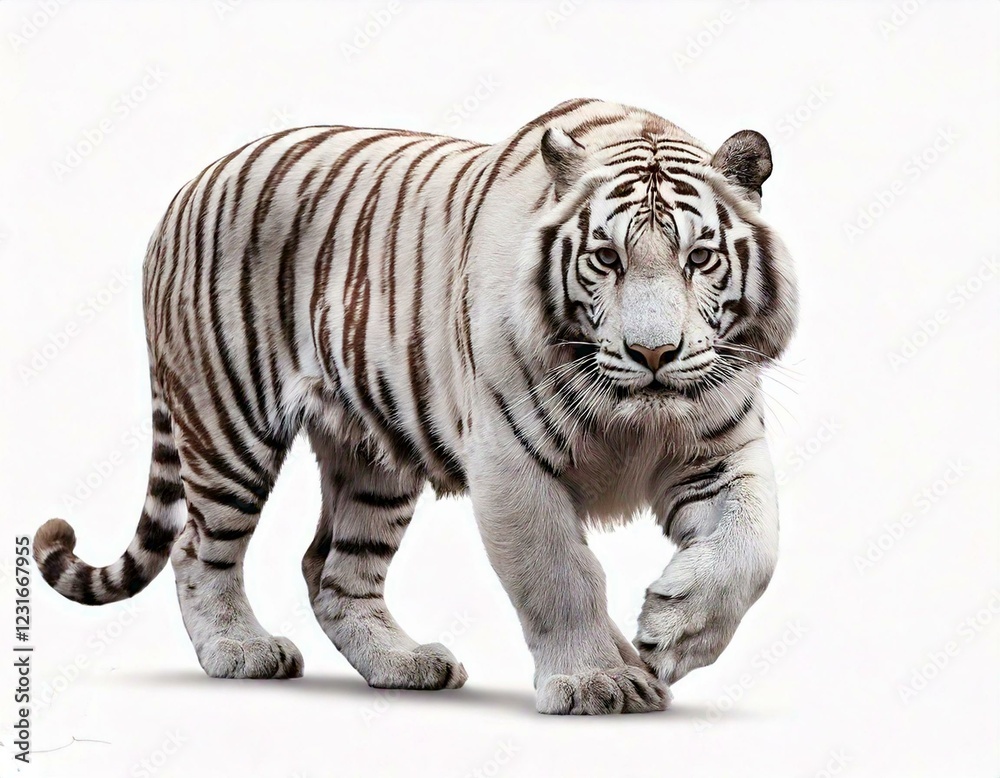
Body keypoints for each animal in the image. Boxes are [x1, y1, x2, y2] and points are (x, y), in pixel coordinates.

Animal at [33, 97, 797, 715]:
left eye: (699, 258)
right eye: (605, 259)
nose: (653, 353)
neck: (633, 414)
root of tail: (189, 185)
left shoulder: (723, 452)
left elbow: (753, 550)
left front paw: (671, 635)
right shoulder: (511, 463)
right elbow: (558, 575)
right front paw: (594, 682)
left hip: (374, 455)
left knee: (332, 571)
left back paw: (404, 664)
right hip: (228, 423)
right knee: (199, 548)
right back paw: (239, 650)